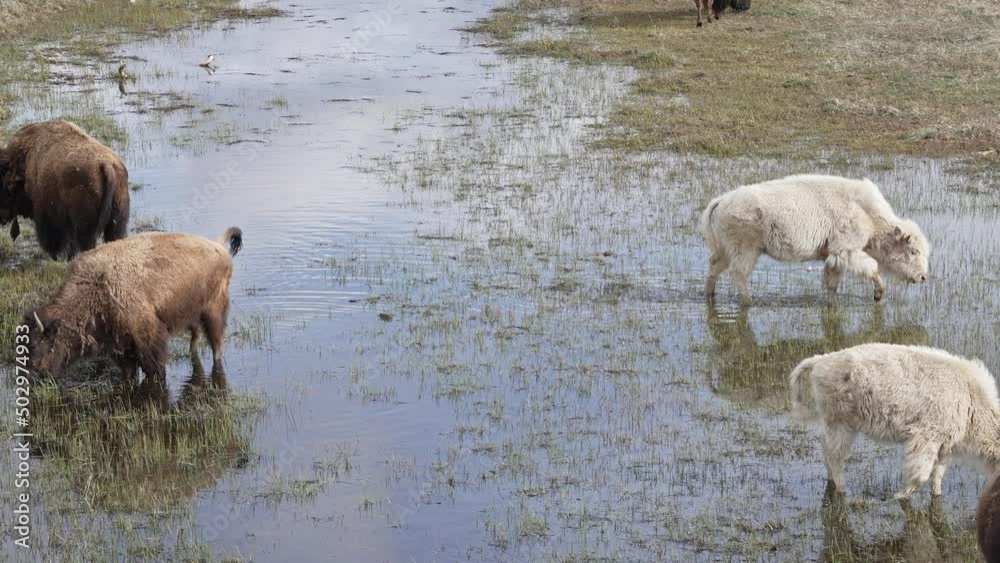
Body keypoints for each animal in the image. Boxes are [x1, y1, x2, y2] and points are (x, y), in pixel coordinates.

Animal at [26, 228, 243, 381]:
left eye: (37, 345)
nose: (33, 376)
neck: (95, 288)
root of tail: (218, 246)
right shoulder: (120, 345)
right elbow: (129, 371)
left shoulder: (147, 337)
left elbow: (154, 369)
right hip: (192, 314)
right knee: (196, 337)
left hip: (214, 310)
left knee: (216, 343)